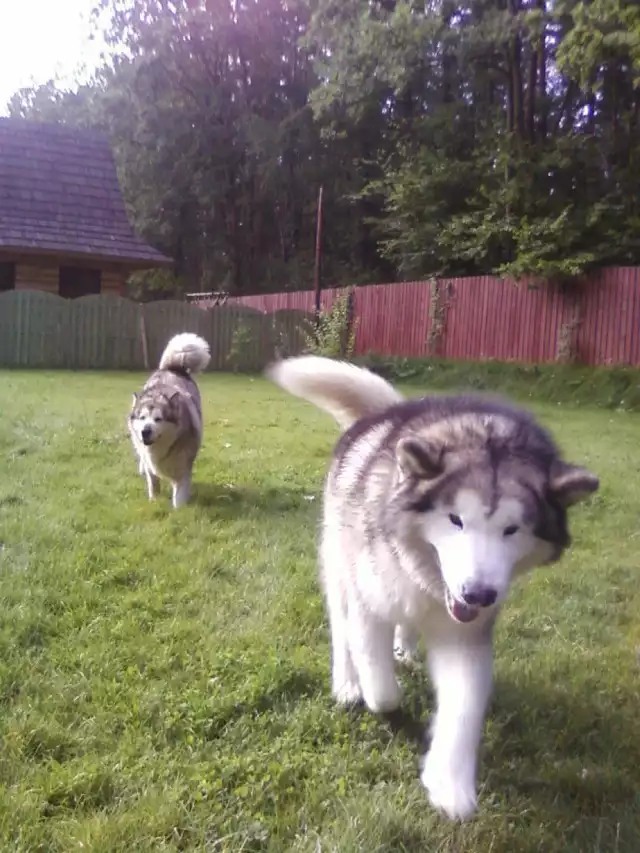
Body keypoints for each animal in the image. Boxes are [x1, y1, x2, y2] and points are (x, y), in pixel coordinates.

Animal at [129, 332, 211, 506]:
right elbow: (153, 482)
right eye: (142, 418)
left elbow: (179, 494)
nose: (145, 431)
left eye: (158, 419)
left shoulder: (183, 468)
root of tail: (173, 367)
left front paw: (179, 509)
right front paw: (154, 500)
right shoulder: (150, 464)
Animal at [264, 352, 600, 820]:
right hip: (339, 564)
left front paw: (449, 781)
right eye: (455, 520)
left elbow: (464, 706)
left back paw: (405, 648)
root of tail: (383, 415)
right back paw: (348, 681)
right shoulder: (369, 603)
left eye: (512, 529)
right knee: (341, 628)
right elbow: (380, 684)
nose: (478, 594)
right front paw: (377, 693)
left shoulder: (464, 633)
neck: (424, 576)